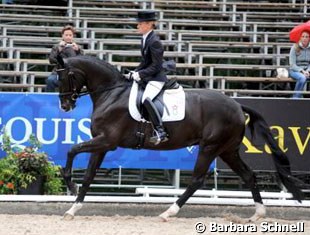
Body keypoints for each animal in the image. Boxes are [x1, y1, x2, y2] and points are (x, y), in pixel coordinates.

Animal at [55, 55, 302, 220]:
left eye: (65, 76)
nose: (65, 105)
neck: (111, 93)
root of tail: (236, 105)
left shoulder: (107, 141)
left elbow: (71, 150)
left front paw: (71, 185)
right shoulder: (102, 145)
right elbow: (88, 175)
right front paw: (72, 208)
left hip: (210, 147)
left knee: (197, 179)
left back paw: (168, 212)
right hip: (227, 150)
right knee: (249, 175)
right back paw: (258, 214)